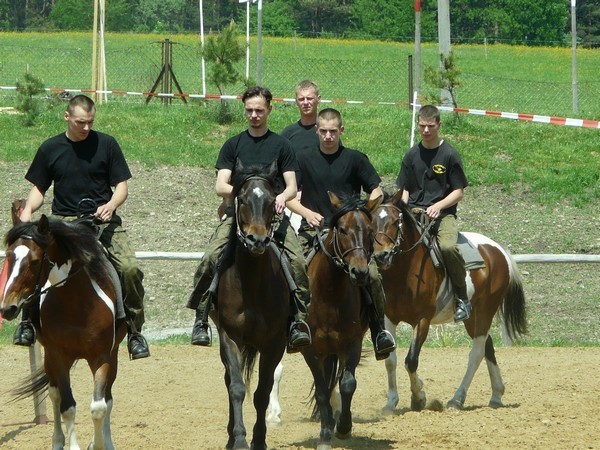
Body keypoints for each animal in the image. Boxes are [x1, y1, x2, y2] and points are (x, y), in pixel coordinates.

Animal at [0, 214, 126, 450]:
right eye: (9, 257)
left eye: (34, 261)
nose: (7, 308)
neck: (76, 305)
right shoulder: (57, 355)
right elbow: (67, 407)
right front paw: (74, 445)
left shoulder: (102, 356)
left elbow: (99, 406)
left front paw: (97, 444)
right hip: (51, 359)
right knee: (54, 394)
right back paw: (58, 441)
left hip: (111, 357)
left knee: (108, 398)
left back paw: (108, 441)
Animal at [211, 161, 292, 450]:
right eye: (244, 199)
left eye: (271, 200)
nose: (257, 240)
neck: (251, 284)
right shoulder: (229, 336)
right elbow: (236, 388)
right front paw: (239, 439)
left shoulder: (274, 343)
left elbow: (262, 392)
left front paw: (259, 440)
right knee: (228, 381)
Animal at [302, 193, 382, 450]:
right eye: (342, 229)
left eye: (370, 230)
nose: (359, 272)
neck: (329, 294)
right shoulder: (310, 349)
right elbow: (321, 391)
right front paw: (325, 434)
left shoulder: (351, 343)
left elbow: (347, 384)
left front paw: (344, 428)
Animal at [372, 190, 528, 412]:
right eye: (371, 221)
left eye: (396, 221)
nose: (381, 256)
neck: (405, 271)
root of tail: (498, 249)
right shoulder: (388, 318)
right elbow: (390, 360)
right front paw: (391, 402)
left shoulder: (423, 320)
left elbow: (411, 360)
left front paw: (419, 397)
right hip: (472, 317)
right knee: (487, 346)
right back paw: (496, 395)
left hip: (485, 311)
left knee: (477, 353)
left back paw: (457, 399)